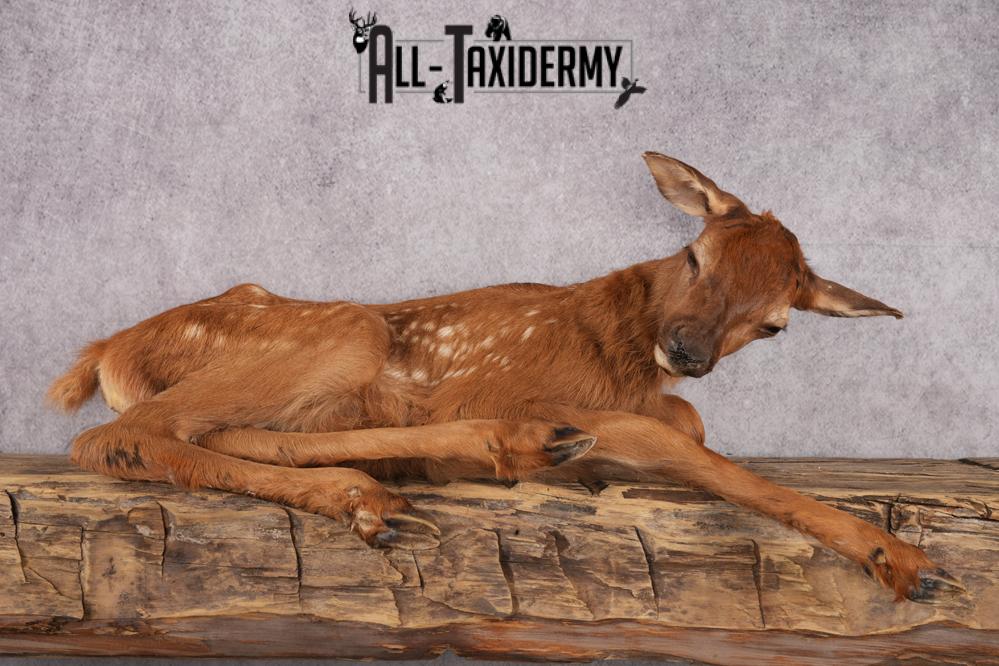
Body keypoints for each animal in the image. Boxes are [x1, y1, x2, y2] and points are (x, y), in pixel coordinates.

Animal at [48, 152, 964, 604]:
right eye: (693, 253)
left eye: (774, 324)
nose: (688, 351)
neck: (617, 349)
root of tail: (107, 352)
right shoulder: (508, 381)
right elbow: (681, 442)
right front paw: (901, 560)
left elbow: (687, 423)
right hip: (345, 326)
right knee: (116, 438)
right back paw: (491, 452)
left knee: (205, 432)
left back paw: (380, 491)